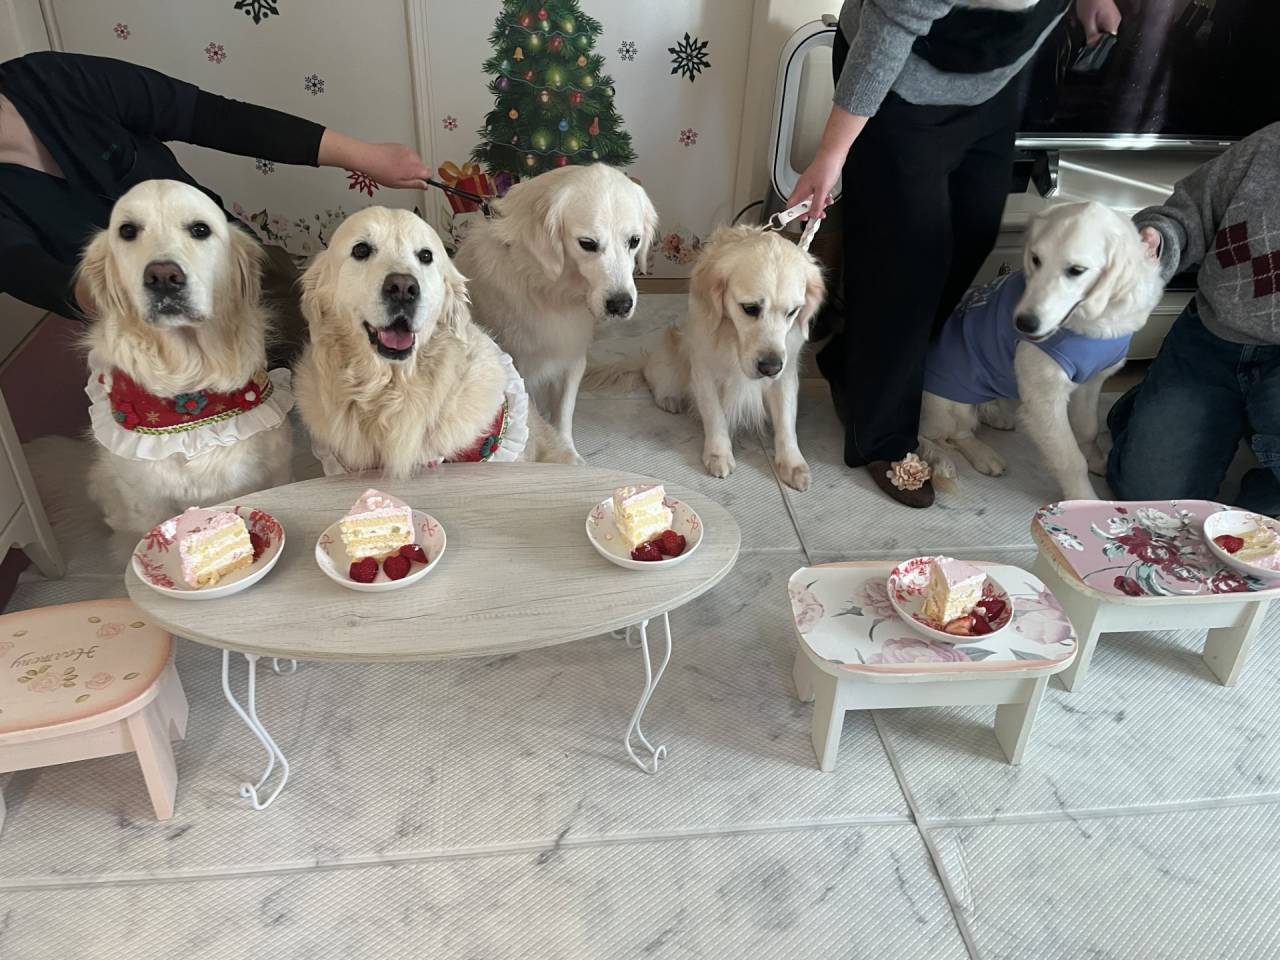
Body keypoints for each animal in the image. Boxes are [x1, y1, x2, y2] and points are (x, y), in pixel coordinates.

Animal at [454, 163, 658, 461]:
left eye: (634, 241)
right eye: (588, 243)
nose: (621, 305)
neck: (549, 288)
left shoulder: (572, 358)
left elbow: (563, 414)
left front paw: (567, 452)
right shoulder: (518, 368)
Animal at [586, 226, 825, 490]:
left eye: (792, 312)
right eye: (750, 308)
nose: (770, 367)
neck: (732, 336)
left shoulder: (786, 372)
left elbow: (786, 420)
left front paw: (792, 463)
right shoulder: (704, 370)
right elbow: (714, 415)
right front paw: (718, 453)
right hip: (671, 364)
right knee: (653, 378)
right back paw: (669, 399)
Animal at [918, 201, 1164, 501]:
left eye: (1076, 270)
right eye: (1035, 259)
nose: (1023, 324)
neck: (1093, 320)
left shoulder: (1092, 382)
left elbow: (1089, 429)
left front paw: (1095, 458)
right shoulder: (1045, 398)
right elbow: (1070, 460)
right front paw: (1083, 499)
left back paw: (996, 414)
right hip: (953, 404)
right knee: (949, 434)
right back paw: (983, 455)